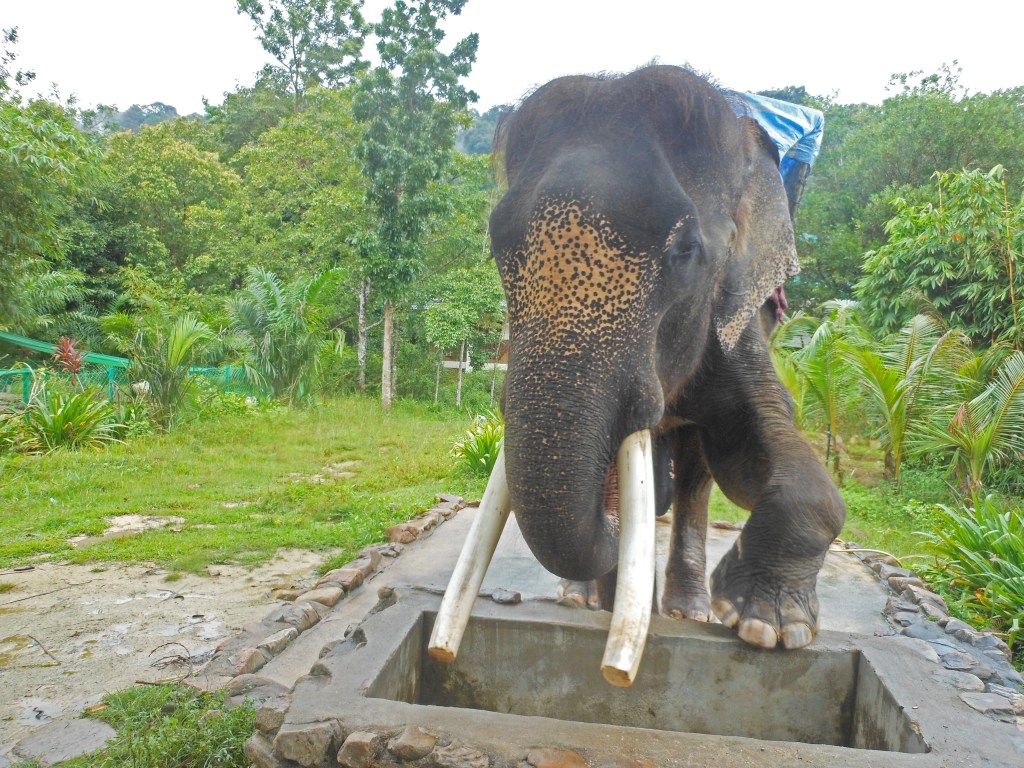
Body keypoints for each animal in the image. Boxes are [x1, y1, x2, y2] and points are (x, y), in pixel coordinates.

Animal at [429, 65, 845, 681]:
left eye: (686, 249)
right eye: (499, 247)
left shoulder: (730, 320)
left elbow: (748, 451)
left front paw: (767, 627)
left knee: (697, 477)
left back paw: (688, 609)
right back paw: (587, 601)